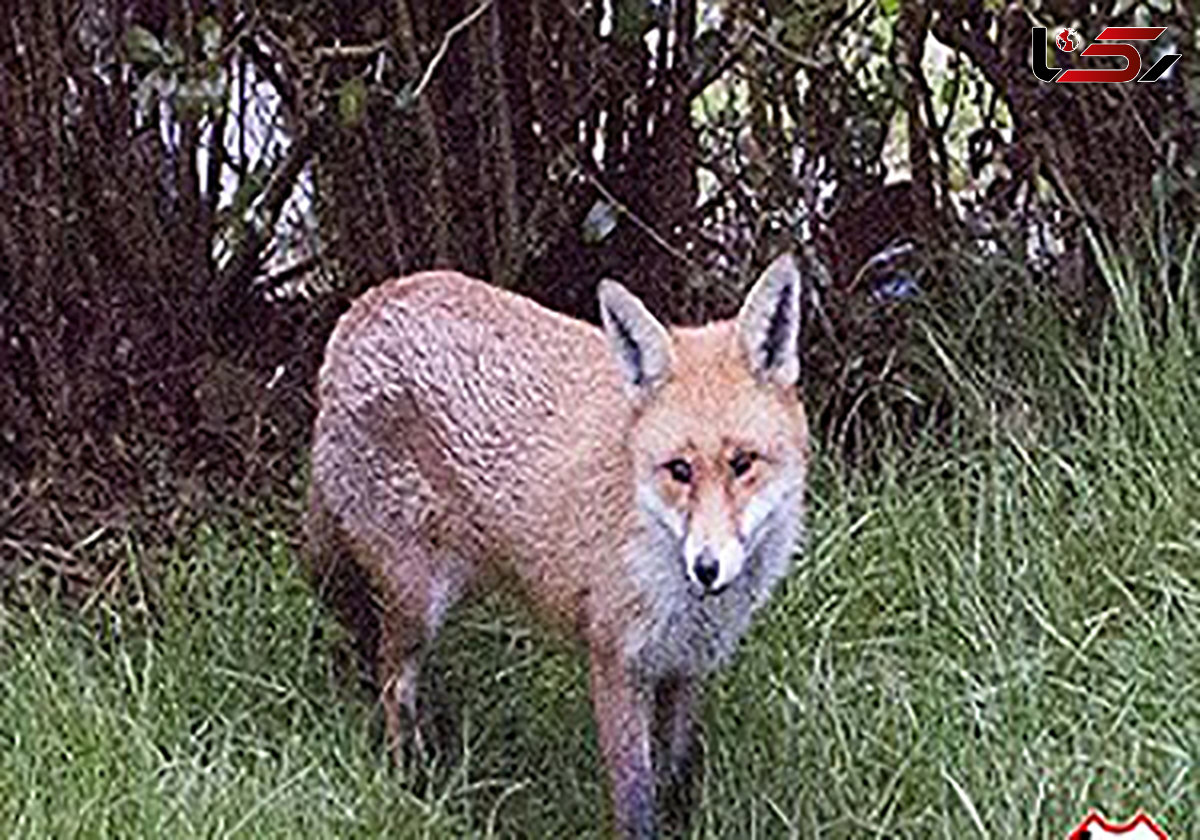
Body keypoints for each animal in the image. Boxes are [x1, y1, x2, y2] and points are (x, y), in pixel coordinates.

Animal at [309, 253, 811, 835]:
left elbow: (673, 774)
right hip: (418, 602)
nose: (707, 567)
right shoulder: (617, 660)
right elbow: (636, 798)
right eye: (679, 470)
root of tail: (364, 306)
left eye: (743, 463)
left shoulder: (685, 668)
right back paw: (412, 785)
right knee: (394, 685)